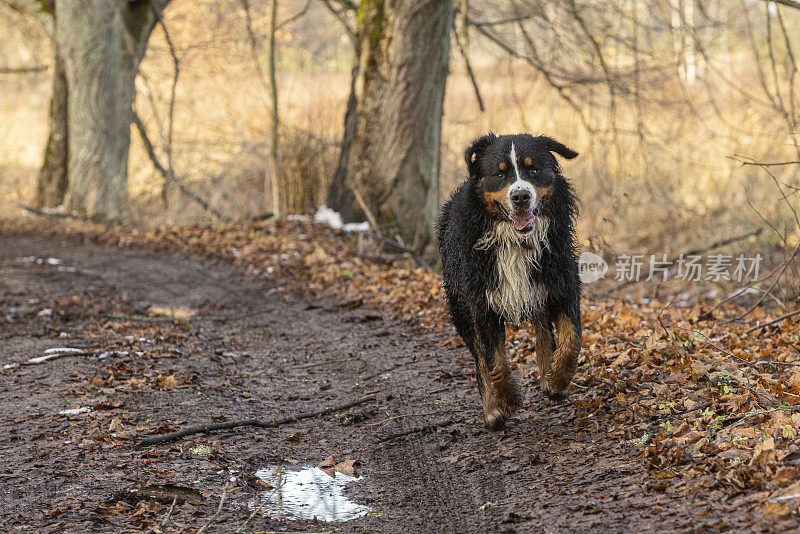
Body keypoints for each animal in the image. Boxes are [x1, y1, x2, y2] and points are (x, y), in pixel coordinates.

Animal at [438, 133, 580, 432]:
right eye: (500, 173)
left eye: (533, 169)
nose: (521, 196)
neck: (516, 241)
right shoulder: (480, 302)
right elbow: (493, 359)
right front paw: (508, 397)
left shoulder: (562, 282)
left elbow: (571, 338)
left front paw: (558, 379)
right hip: (459, 308)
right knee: (479, 358)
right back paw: (491, 409)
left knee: (543, 328)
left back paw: (547, 374)